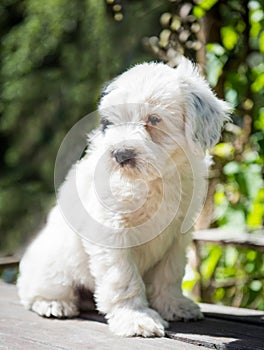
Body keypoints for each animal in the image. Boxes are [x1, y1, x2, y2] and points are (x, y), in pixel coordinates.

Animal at [17, 58, 231, 338]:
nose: (120, 154)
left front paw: (174, 305)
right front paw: (136, 318)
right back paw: (53, 303)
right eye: (111, 123)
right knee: (34, 289)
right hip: (53, 263)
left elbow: (170, 272)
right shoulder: (112, 232)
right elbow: (123, 279)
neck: (156, 179)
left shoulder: (178, 235)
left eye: (154, 119)